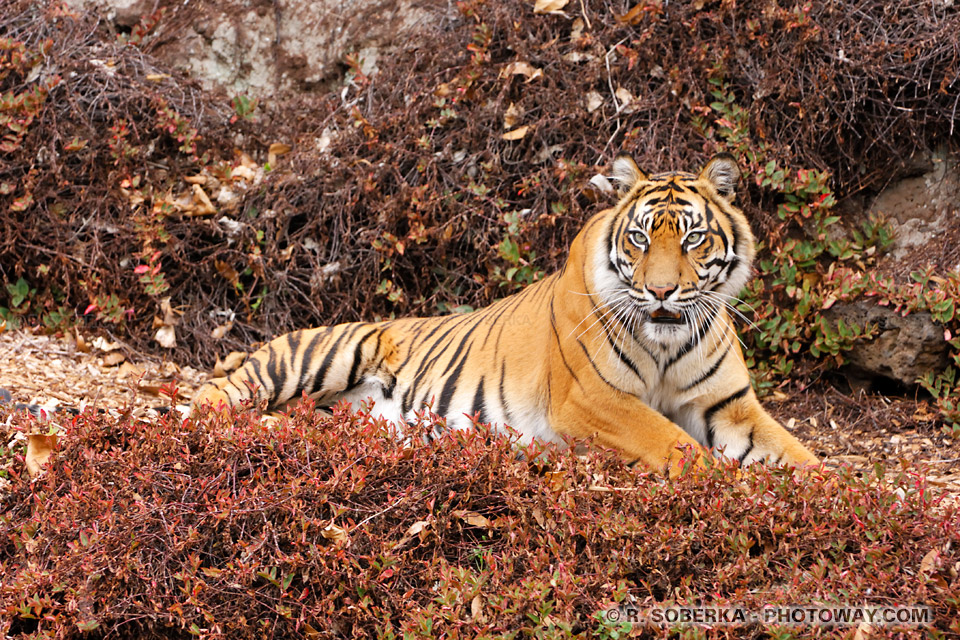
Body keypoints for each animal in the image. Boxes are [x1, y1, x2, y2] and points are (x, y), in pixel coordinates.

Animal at [193, 152, 816, 476]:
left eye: (692, 239)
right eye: (639, 238)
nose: (661, 291)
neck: (667, 340)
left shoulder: (731, 407)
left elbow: (801, 458)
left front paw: (828, 499)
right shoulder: (594, 399)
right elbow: (678, 447)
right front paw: (730, 491)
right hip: (326, 352)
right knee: (210, 400)